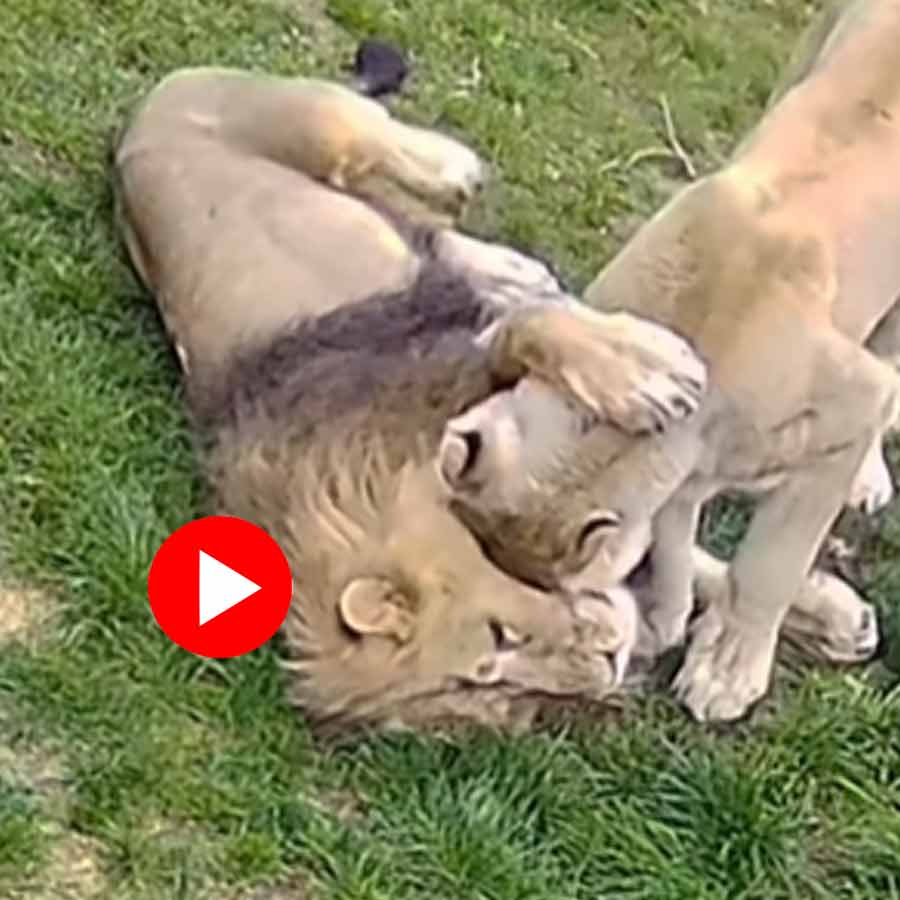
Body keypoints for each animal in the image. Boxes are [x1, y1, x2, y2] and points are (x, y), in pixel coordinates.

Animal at [112, 62, 708, 732]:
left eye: (502, 635)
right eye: (501, 697)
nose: (606, 665)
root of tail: (133, 124)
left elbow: (530, 329)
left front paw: (648, 369)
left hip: (320, 125)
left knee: (401, 164)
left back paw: (463, 182)